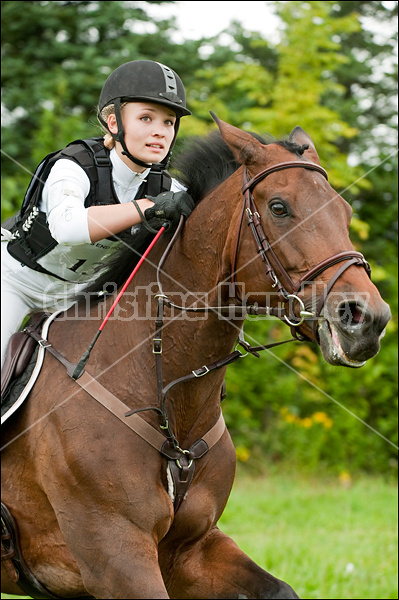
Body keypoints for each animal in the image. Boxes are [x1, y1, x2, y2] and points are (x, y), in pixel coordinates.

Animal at [1, 115, 392, 596]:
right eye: (279, 207)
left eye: (345, 212)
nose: (366, 319)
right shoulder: (114, 554)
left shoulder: (192, 549)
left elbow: (279, 588)